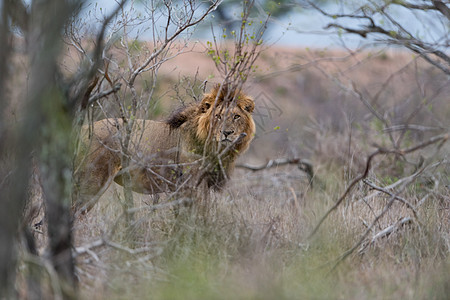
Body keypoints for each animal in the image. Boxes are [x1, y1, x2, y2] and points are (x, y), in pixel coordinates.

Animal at [74, 85, 256, 213]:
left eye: (236, 116)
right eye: (218, 116)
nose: (227, 133)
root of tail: (82, 130)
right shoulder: (191, 184)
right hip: (93, 180)